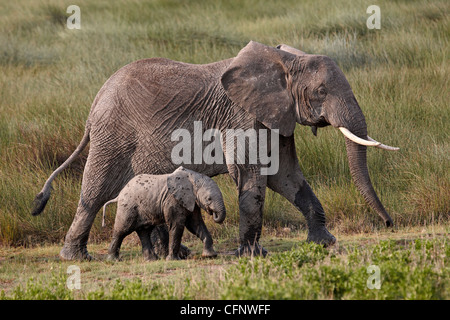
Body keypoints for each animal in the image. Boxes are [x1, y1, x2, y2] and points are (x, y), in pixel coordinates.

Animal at [31, 40, 398, 260]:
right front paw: (249, 255)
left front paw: (324, 242)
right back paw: (76, 257)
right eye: (321, 91)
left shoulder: (275, 115)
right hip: (113, 137)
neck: (285, 59)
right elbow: (252, 175)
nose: (390, 223)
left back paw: (171, 254)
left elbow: (286, 177)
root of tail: (94, 104)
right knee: (95, 191)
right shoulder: (241, 115)